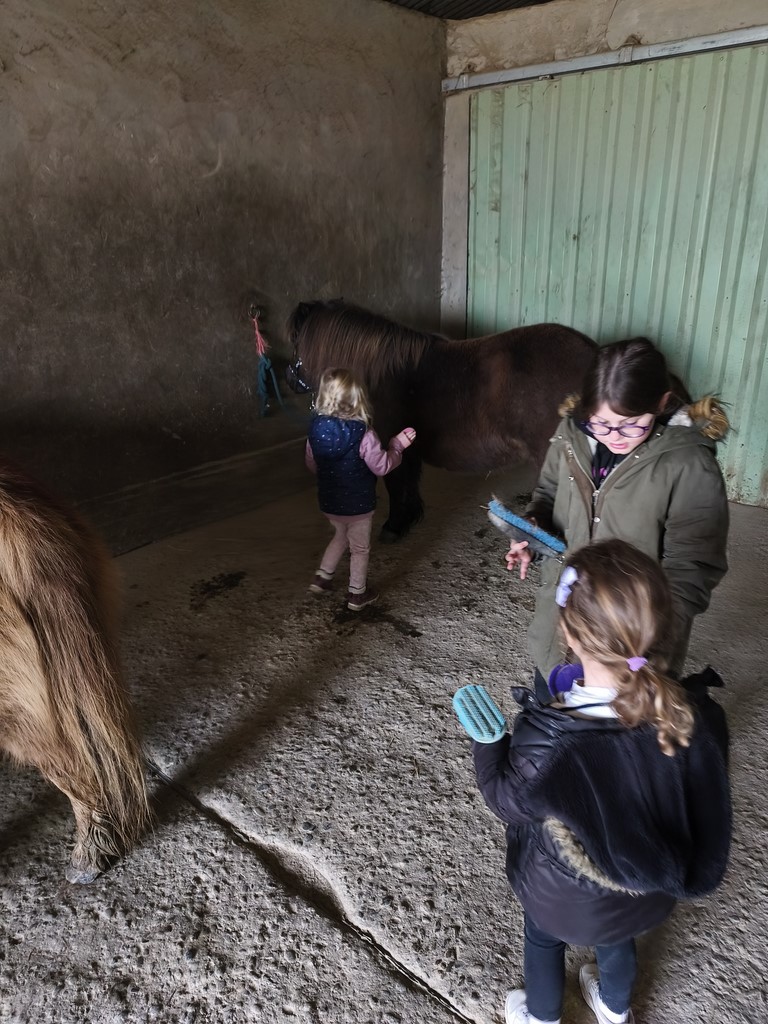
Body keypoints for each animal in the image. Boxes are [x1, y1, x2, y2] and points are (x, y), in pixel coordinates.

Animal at [286, 300, 598, 540]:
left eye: (296, 342)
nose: (290, 380)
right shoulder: (407, 447)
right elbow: (408, 483)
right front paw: (408, 520)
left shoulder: (386, 444)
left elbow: (395, 485)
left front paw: (393, 527)